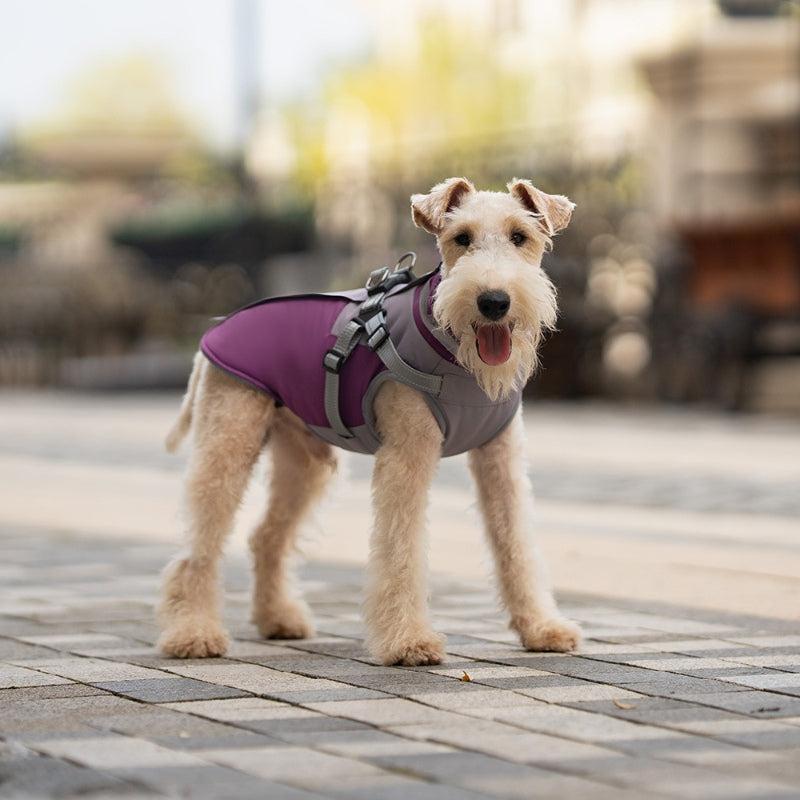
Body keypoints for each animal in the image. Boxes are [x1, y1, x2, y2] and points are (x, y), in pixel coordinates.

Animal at [158, 178, 580, 664]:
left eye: (519, 237)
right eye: (461, 238)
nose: (494, 302)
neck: (450, 348)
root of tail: (214, 330)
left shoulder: (501, 461)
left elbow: (516, 545)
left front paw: (543, 628)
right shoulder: (407, 457)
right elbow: (401, 549)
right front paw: (408, 641)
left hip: (305, 464)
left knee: (265, 537)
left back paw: (279, 619)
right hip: (228, 443)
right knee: (199, 547)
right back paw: (193, 633)